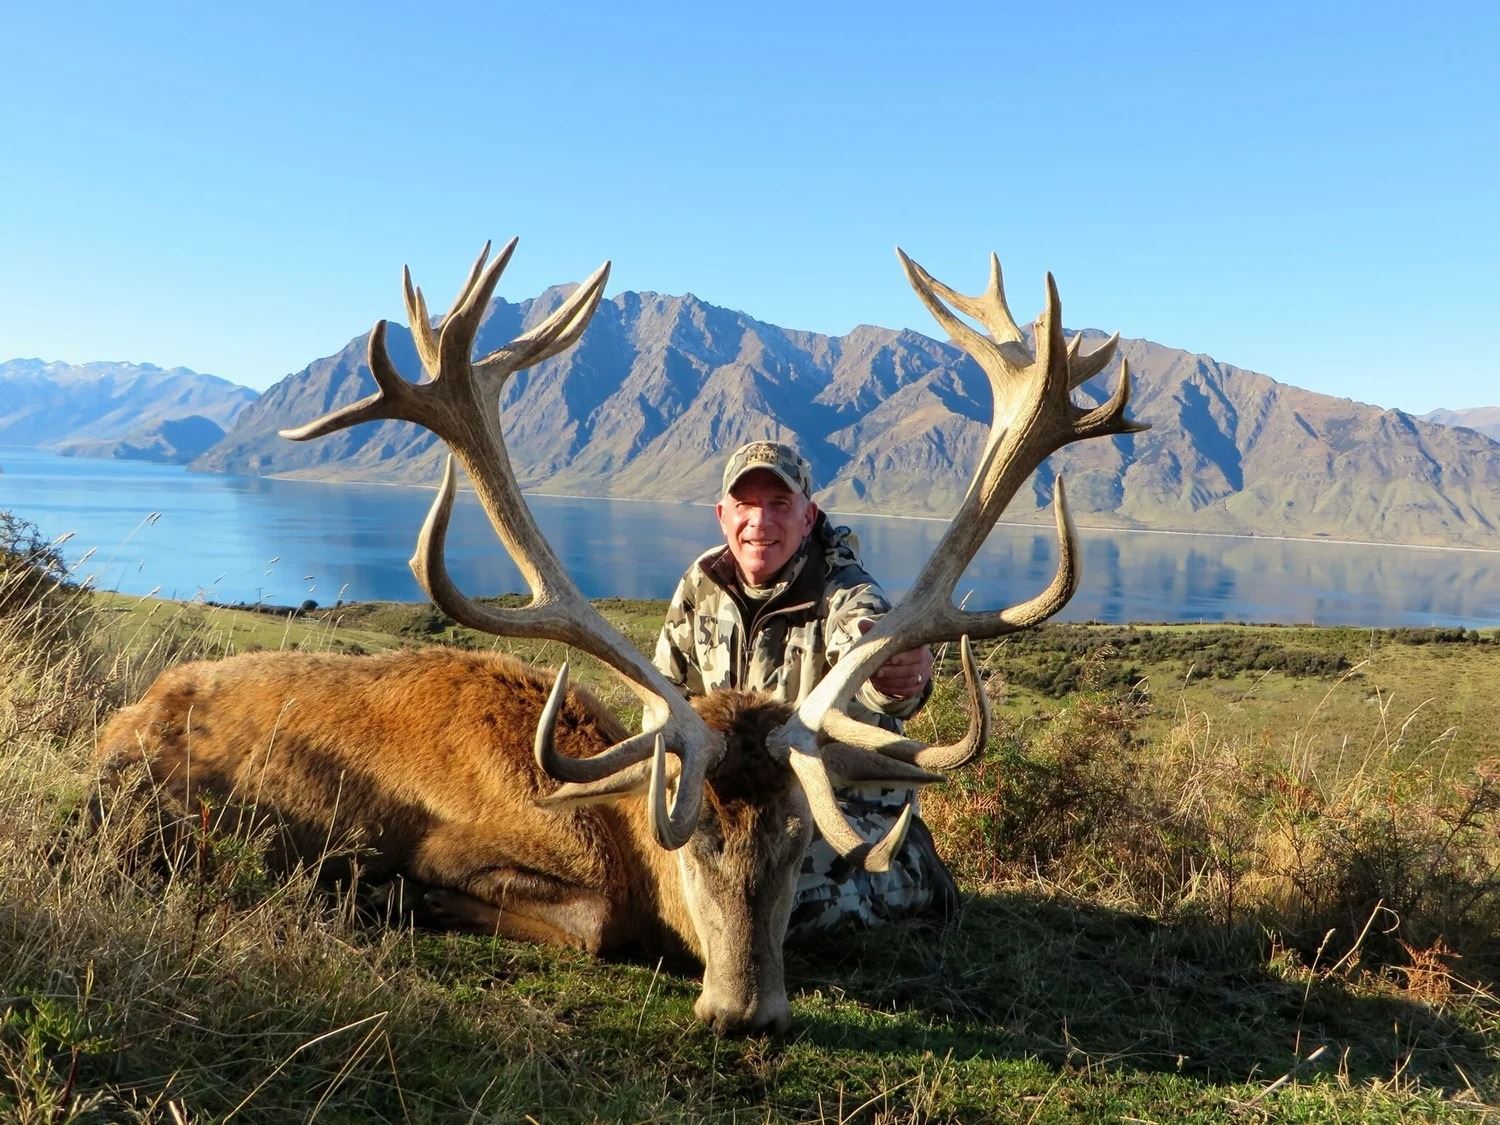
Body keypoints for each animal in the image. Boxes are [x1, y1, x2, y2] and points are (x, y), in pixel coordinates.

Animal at [95, 236, 1143, 1035]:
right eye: (693, 836)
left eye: (801, 837)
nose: (744, 1013)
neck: (607, 831)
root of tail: (129, 712)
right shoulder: (470, 847)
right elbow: (587, 921)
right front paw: (390, 892)